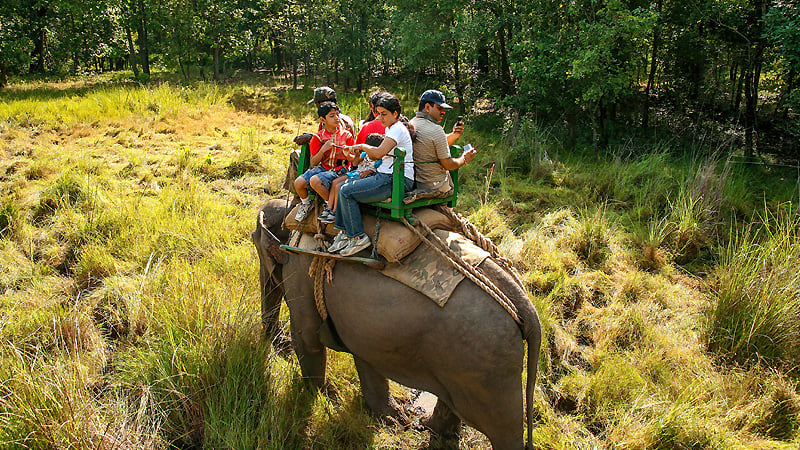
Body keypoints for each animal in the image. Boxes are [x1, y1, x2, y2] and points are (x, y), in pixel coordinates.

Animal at [252, 198, 542, 450]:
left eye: (254, 241)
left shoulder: (300, 269)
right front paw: (391, 419)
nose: (278, 343)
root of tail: (524, 304)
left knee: (504, 431)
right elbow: (364, 356)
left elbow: (308, 338)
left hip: (488, 369)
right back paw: (428, 428)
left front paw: (321, 396)